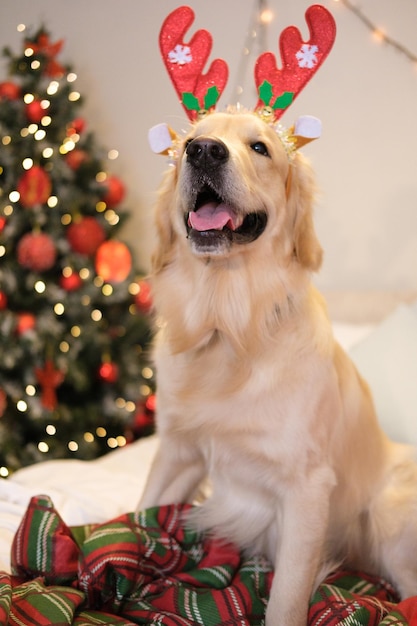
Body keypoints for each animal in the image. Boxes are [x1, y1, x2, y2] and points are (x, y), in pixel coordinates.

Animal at [139, 111, 416, 624]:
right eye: (188, 142)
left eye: (260, 148)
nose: (203, 151)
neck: (227, 325)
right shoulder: (178, 453)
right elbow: (140, 510)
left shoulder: (306, 488)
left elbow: (287, 598)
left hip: (388, 517)